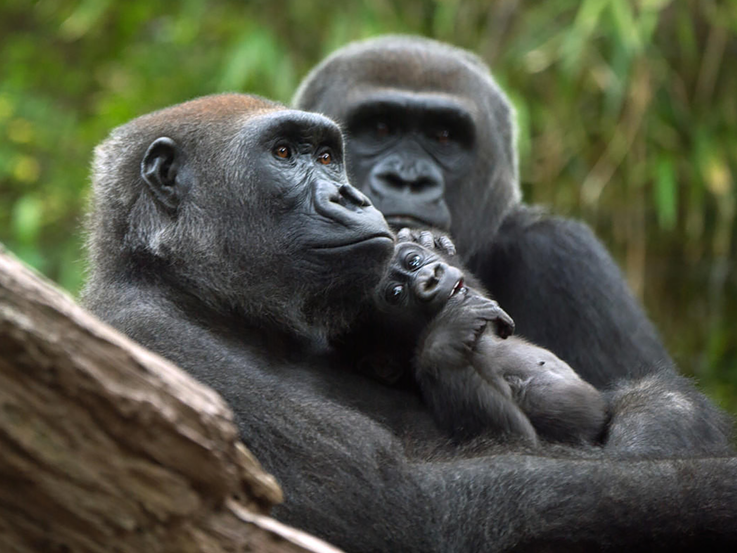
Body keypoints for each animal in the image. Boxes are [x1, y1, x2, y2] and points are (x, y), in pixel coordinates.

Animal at [336, 242, 608, 444]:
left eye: (413, 261)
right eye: (396, 293)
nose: (431, 278)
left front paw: (431, 240)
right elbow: (517, 438)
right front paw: (448, 332)